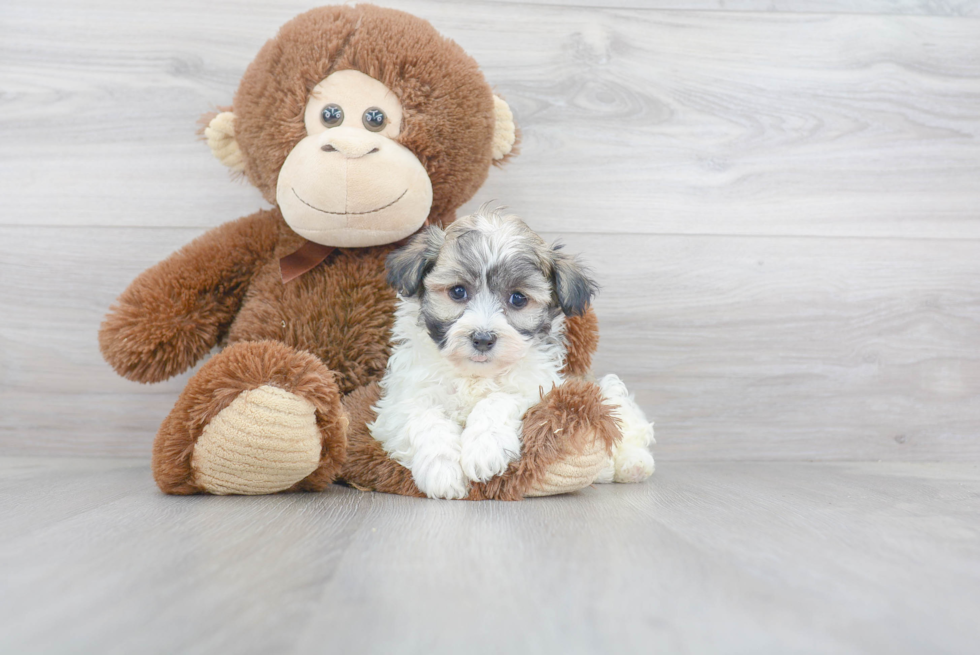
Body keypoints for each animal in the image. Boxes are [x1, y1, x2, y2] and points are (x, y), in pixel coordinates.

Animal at [372, 208, 656, 500]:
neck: (476, 375)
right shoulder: (402, 397)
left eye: (518, 299)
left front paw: (483, 449)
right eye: (458, 291)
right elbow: (423, 417)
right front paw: (442, 471)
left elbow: (499, 399)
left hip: (606, 392)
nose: (483, 338)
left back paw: (632, 464)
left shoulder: (541, 388)